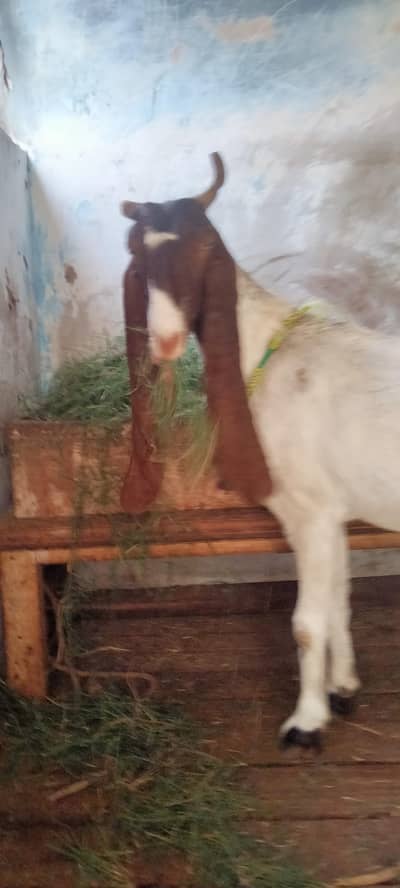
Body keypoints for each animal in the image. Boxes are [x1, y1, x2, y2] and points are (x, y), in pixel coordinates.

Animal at [120, 153, 400, 749]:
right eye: (138, 255)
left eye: (206, 248)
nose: (165, 341)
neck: (275, 350)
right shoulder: (329, 513)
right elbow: (338, 603)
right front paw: (343, 687)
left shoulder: (309, 510)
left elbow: (307, 624)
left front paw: (307, 722)